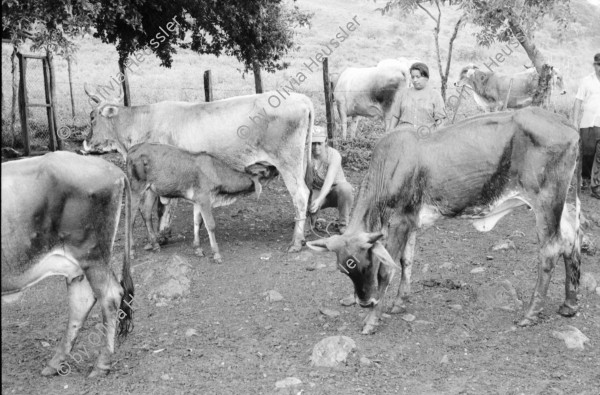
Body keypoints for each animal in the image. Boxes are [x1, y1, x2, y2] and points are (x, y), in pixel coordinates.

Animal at [1, 152, 134, 378]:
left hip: (91, 254)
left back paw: (101, 365)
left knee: (110, 296)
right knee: (82, 301)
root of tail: (114, 169)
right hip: (77, 263)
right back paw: (55, 364)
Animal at [127, 143, 280, 262]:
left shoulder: (197, 201)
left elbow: (197, 222)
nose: (277, 169)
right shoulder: (204, 198)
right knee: (131, 217)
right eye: (269, 170)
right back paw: (132, 251)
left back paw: (155, 244)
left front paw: (198, 249)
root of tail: (132, 149)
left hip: (152, 190)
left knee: (146, 212)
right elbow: (210, 225)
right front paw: (216, 254)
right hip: (136, 187)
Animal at [308, 106, 580, 336]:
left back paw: (530, 314)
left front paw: (372, 320)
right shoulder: (410, 221)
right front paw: (399, 302)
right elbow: (406, 261)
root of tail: (569, 126)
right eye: (343, 268)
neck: (389, 168)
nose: (365, 302)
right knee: (571, 242)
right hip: (565, 202)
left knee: (551, 249)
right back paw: (569, 304)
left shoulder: (400, 222)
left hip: (546, 202)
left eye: (365, 262)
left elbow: (388, 270)